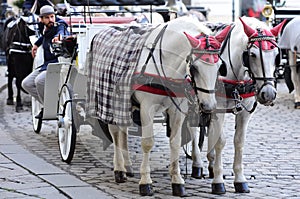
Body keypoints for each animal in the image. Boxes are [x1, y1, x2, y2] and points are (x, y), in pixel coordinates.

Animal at [85, 16, 231, 196]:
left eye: (220, 67)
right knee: (115, 132)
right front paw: (145, 182)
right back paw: (119, 169)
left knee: (123, 131)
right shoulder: (147, 107)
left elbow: (175, 142)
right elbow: (147, 142)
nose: (208, 105)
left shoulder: (177, 109)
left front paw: (177, 181)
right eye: (195, 68)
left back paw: (127, 166)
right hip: (110, 100)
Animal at [202, 17, 286, 194]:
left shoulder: (245, 112)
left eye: (277, 55)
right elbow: (221, 141)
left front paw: (240, 180)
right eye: (252, 54)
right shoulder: (218, 109)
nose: (269, 93)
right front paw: (218, 181)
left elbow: (239, 141)